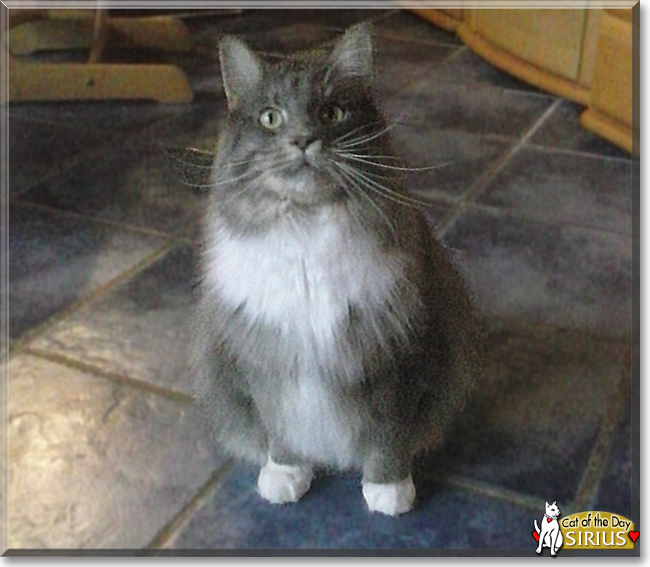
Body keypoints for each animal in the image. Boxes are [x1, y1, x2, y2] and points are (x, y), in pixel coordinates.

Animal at [187, 23, 480, 520]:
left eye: (331, 112)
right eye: (271, 119)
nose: (304, 140)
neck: (306, 229)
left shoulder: (397, 359)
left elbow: (387, 438)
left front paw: (388, 491)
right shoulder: (266, 361)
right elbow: (281, 429)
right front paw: (286, 475)